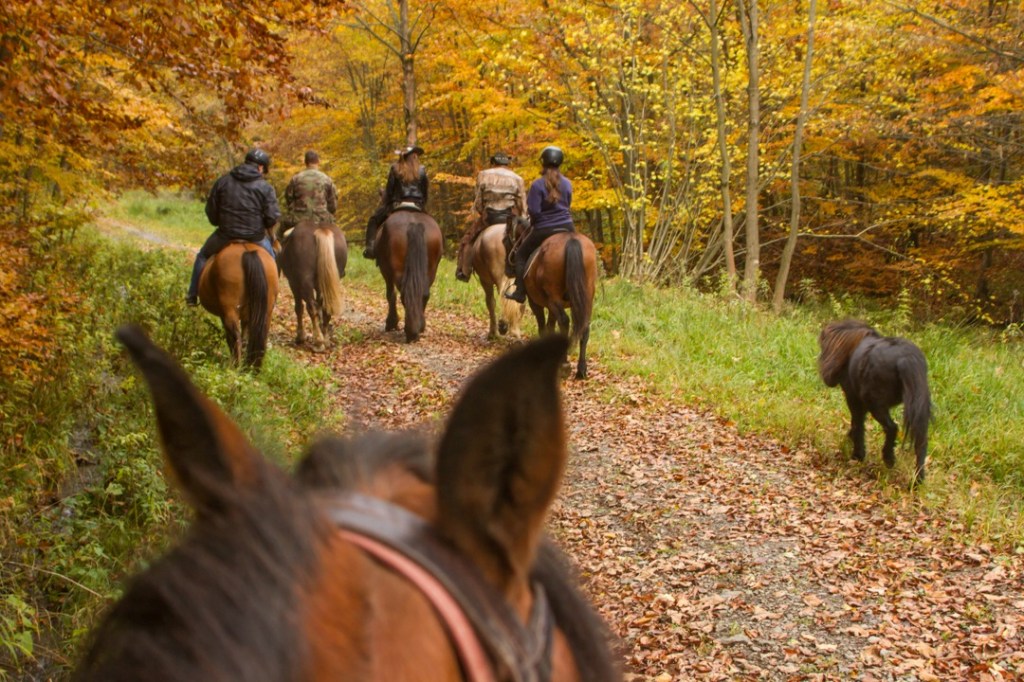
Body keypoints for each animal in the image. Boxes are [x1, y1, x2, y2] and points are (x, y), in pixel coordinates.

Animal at [278, 219, 348, 350]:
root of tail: (321, 230)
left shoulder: (293, 283)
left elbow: (299, 308)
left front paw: (301, 336)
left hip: (304, 282)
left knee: (311, 307)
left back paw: (319, 342)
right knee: (325, 307)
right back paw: (325, 340)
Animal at [374, 210, 442, 343]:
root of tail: (414, 224)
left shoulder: (386, 270)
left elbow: (390, 295)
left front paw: (391, 322)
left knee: (404, 294)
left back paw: (411, 331)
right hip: (431, 270)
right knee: (424, 294)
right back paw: (419, 327)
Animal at [505, 219, 598, 379]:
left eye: (506, 238)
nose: (507, 269)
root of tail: (571, 240)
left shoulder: (536, 303)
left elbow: (543, 326)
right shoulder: (552, 305)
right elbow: (550, 326)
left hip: (553, 298)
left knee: (564, 322)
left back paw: (564, 364)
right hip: (585, 297)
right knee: (584, 327)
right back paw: (581, 370)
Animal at [818, 319, 932, 484]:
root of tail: (906, 358)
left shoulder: (854, 398)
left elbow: (858, 424)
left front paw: (857, 454)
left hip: (875, 403)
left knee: (892, 427)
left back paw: (888, 458)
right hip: (918, 408)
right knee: (921, 444)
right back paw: (918, 480)